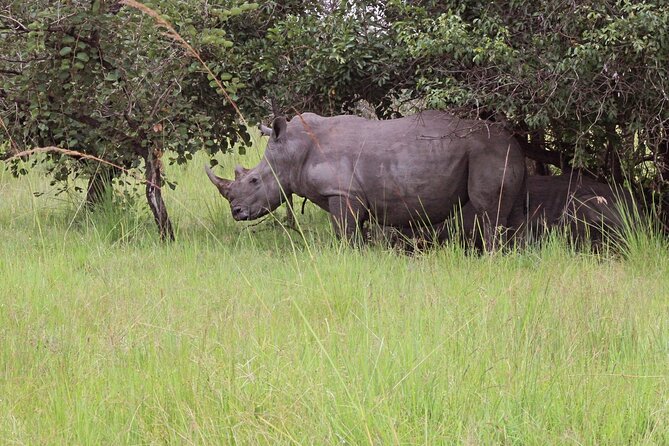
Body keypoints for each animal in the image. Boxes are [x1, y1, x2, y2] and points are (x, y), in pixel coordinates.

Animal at [205, 111, 526, 248]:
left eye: (254, 181)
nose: (236, 212)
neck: (292, 151)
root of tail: (515, 141)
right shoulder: (352, 196)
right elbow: (355, 232)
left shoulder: (341, 192)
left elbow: (344, 234)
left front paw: (347, 257)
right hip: (501, 154)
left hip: (488, 150)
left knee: (489, 211)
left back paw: (491, 257)